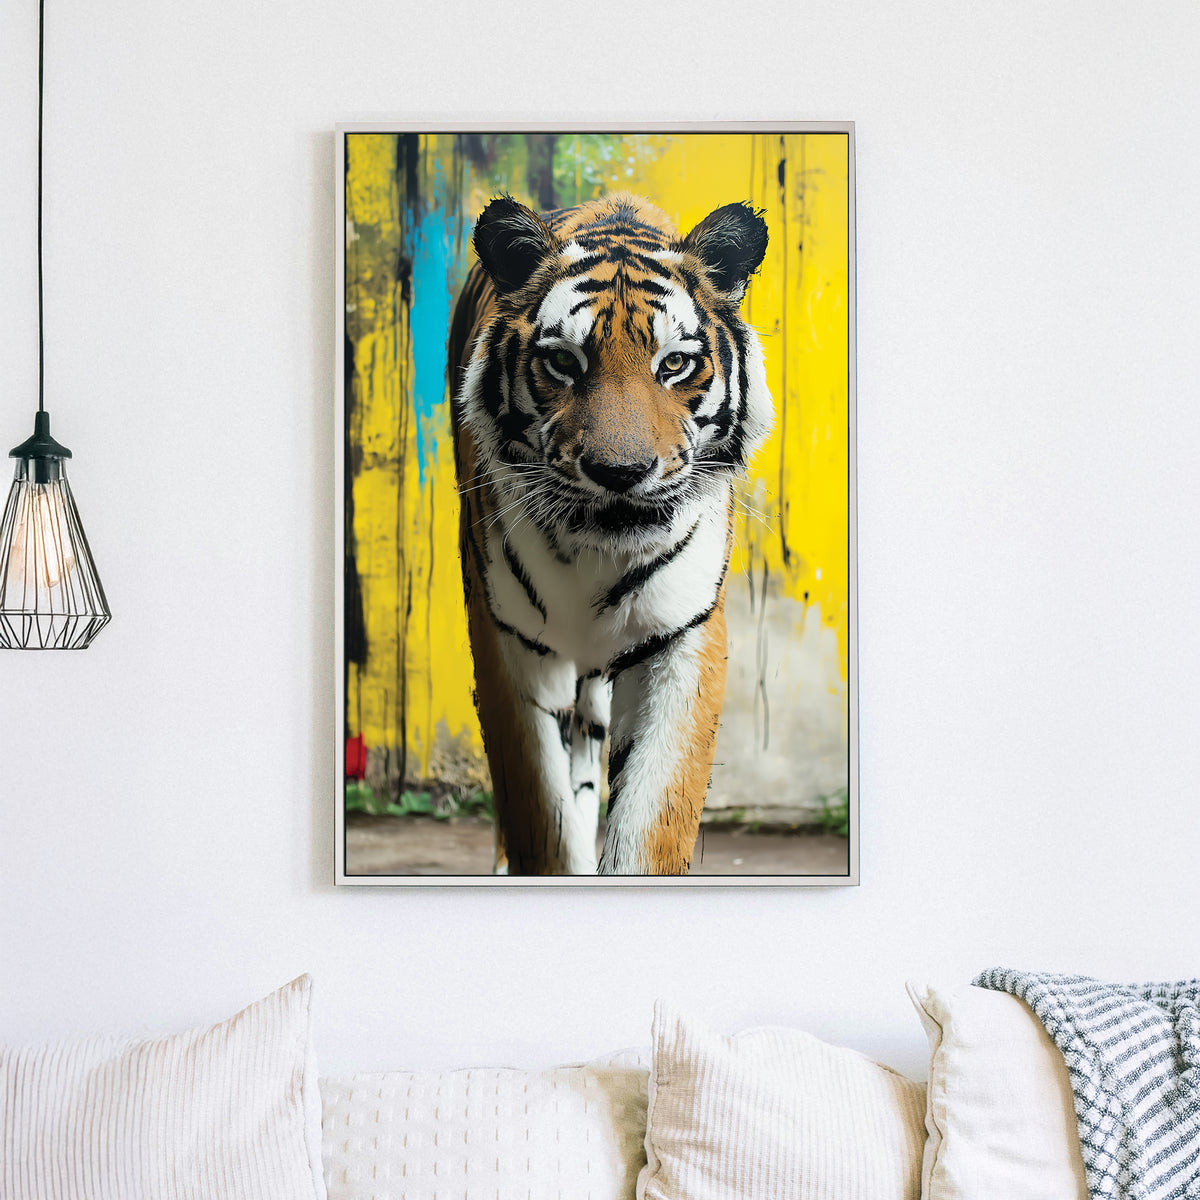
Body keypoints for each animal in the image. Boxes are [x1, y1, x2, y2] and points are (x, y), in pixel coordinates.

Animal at [447, 191, 771, 875]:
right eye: (562, 362)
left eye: (674, 364)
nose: (620, 472)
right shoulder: (507, 641)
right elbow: (540, 818)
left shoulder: (684, 636)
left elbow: (652, 823)